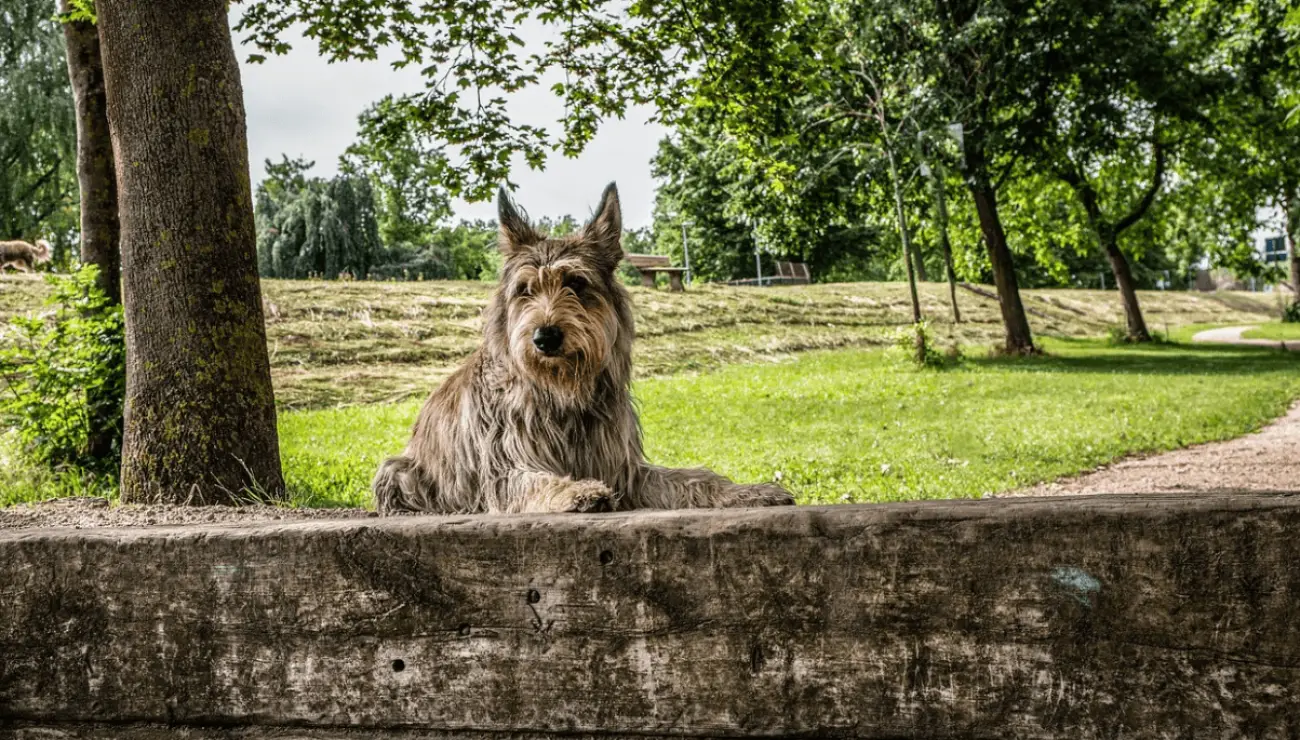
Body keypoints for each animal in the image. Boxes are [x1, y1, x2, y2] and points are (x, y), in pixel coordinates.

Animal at [369, 183, 790, 512]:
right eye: (525, 290)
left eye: (576, 283)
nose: (545, 337)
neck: (563, 395)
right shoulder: (503, 470)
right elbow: (533, 481)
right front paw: (575, 491)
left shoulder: (624, 470)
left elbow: (693, 479)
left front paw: (749, 491)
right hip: (397, 470)